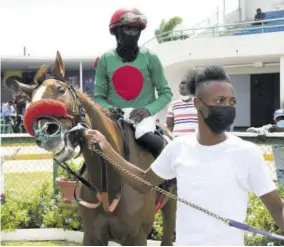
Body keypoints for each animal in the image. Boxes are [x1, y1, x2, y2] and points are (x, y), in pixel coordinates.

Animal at [16, 51, 178, 246]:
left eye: (61, 89)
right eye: (31, 102)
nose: (47, 133)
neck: (111, 182)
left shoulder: (137, 236)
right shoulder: (92, 235)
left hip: (171, 206)